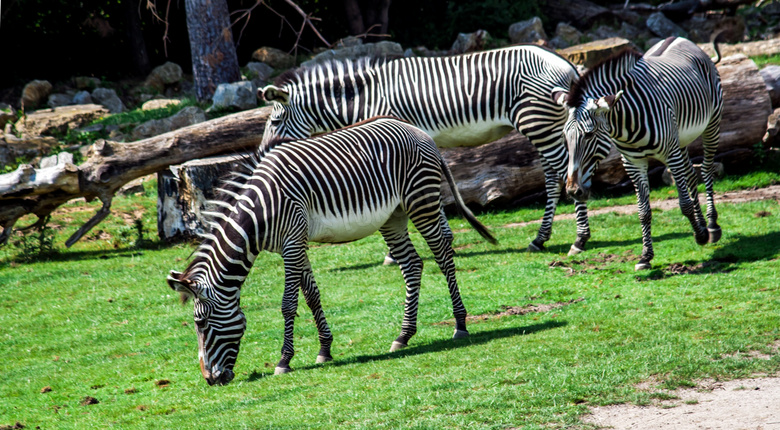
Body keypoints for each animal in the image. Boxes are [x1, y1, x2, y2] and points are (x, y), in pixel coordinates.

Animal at [165, 116, 496, 384]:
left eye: (201, 323)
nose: (211, 380)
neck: (259, 214)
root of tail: (417, 130)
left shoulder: (292, 242)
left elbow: (288, 303)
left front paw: (284, 361)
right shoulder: (295, 243)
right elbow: (312, 295)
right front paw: (325, 349)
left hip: (421, 201)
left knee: (442, 254)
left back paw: (460, 324)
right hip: (394, 215)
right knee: (413, 265)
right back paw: (403, 335)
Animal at [258, 45, 592, 256]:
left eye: (274, 121)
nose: (261, 154)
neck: (367, 97)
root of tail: (567, 63)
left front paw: (397, 252)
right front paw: (446, 237)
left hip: (537, 120)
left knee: (564, 172)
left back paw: (579, 239)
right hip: (546, 124)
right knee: (553, 174)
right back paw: (541, 238)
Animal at [556, 37, 724, 272]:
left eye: (589, 135)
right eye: (564, 136)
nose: (572, 191)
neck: (626, 123)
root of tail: (681, 39)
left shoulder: (670, 153)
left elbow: (683, 204)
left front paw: (700, 236)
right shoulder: (633, 162)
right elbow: (643, 212)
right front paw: (645, 256)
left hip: (711, 124)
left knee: (707, 170)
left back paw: (711, 225)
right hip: (680, 138)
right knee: (691, 174)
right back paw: (702, 224)